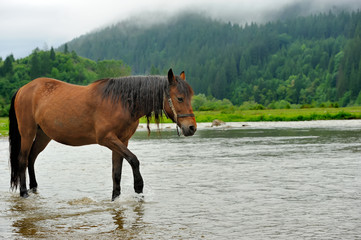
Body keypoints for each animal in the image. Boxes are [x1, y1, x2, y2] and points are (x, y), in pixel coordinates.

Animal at [9, 68, 194, 200]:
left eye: (190, 97)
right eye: (179, 98)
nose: (191, 127)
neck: (121, 102)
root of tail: (23, 89)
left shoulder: (122, 141)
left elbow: (117, 172)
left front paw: (115, 198)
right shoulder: (107, 139)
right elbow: (133, 159)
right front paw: (138, 187)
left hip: (43, 135)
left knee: (32, 158)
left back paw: (34, 188)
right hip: (27, 132)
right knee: (22, 159)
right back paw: (24, 193)